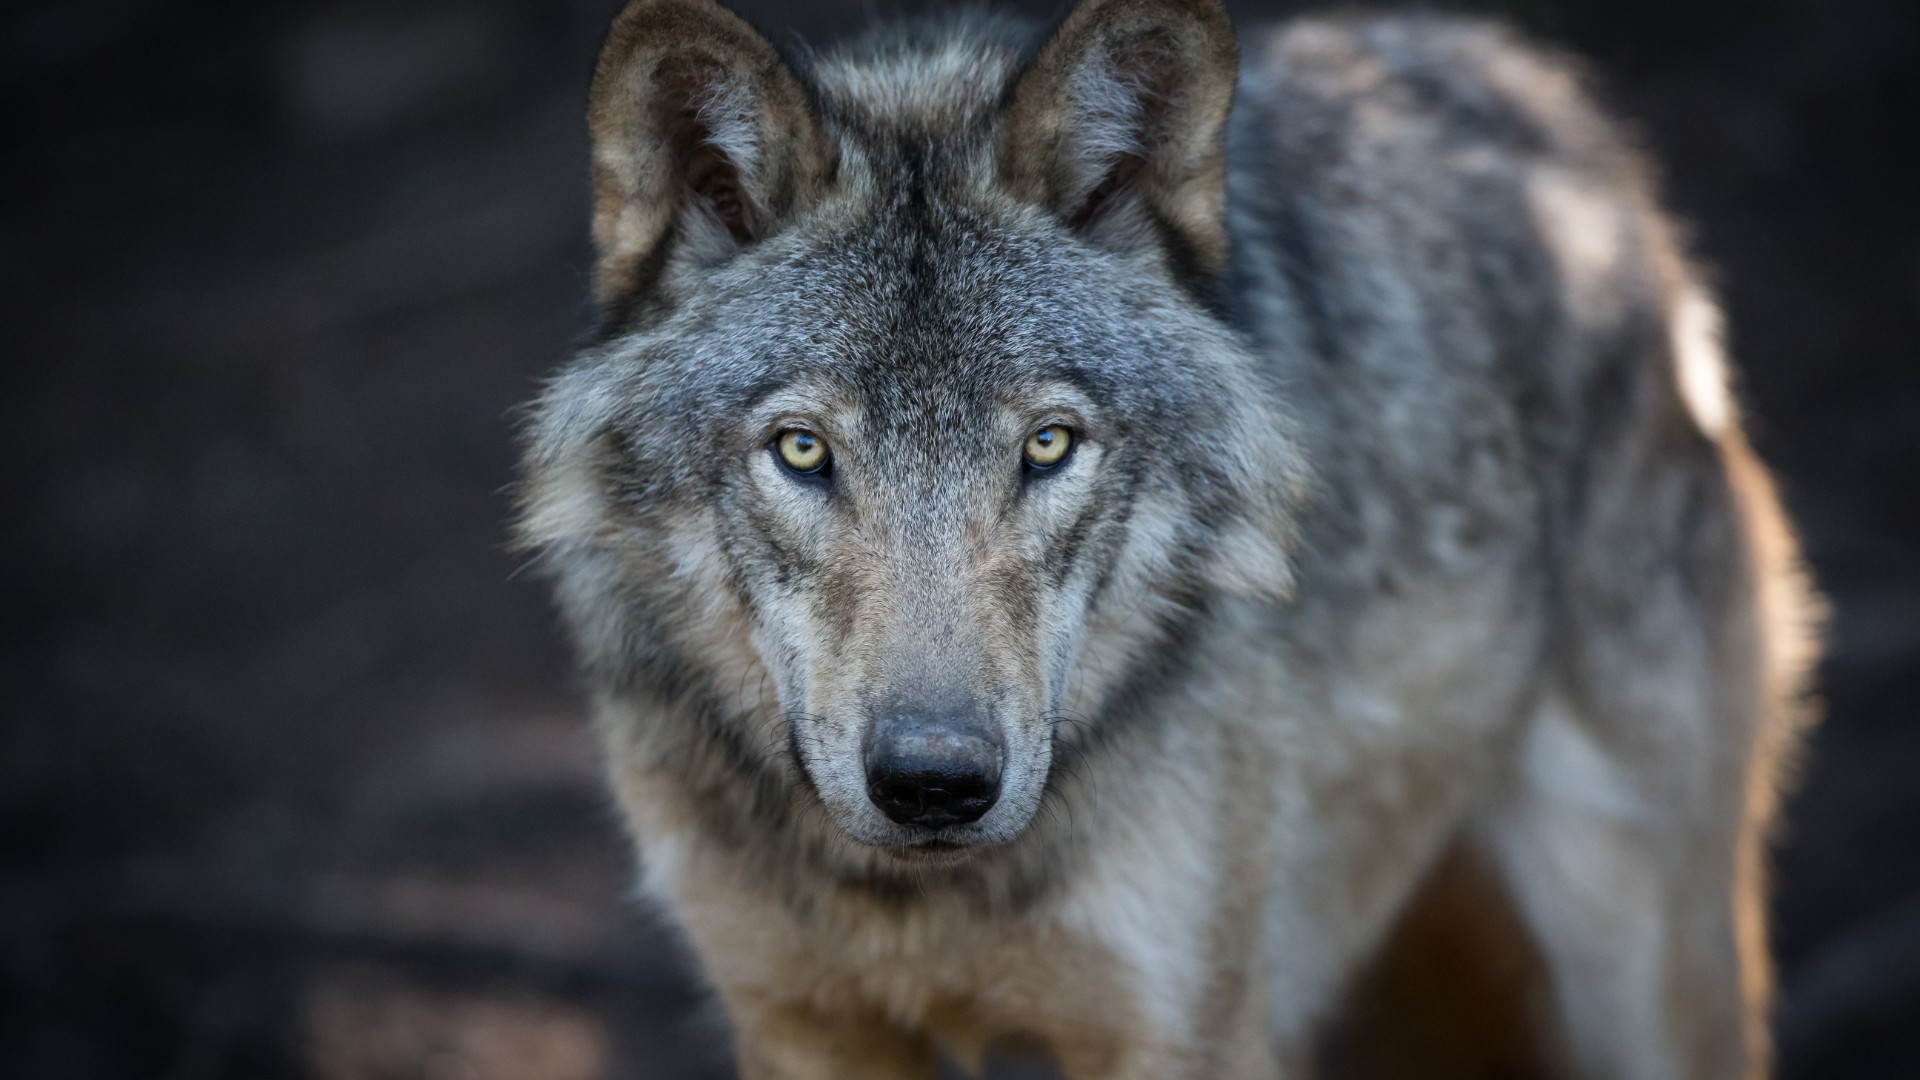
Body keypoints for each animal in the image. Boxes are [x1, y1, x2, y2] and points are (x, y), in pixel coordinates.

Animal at [515, 0, 1819, 1076]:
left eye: (1048, 445)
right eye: (801, 451)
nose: (934, 783)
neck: (916, 900)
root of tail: (1543, 102)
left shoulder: (1184, 1029)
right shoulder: (804, 1024)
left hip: (1641, 966)